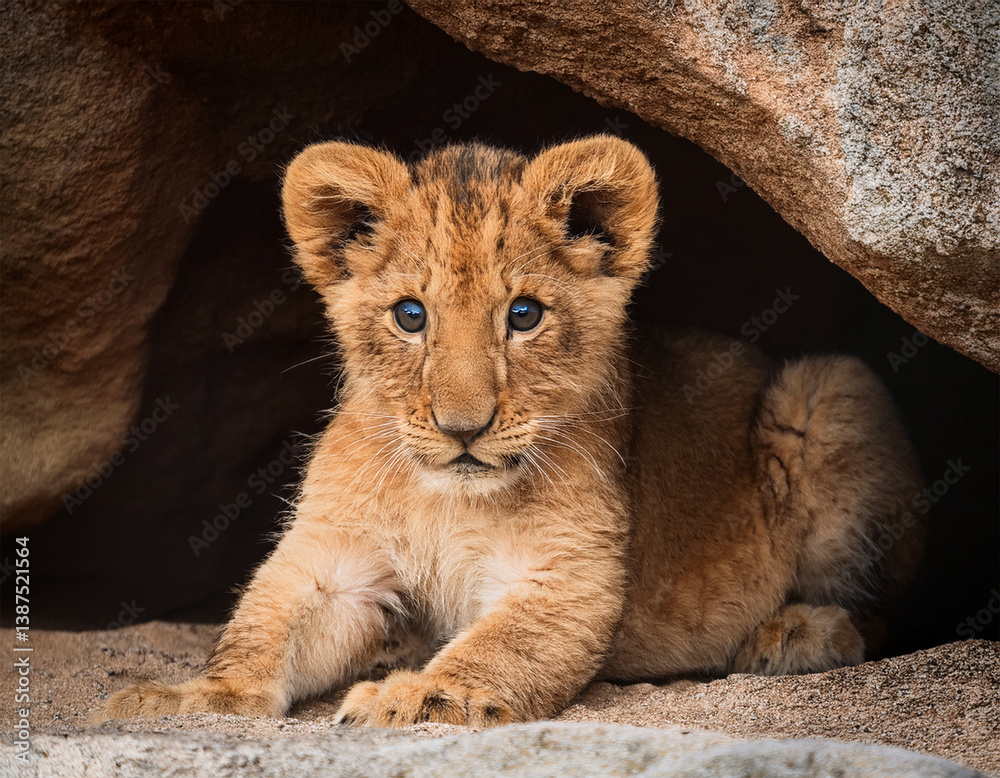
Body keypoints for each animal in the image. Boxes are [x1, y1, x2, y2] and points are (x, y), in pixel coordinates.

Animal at [99, 135, 924, 728]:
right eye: (411, 315)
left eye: (523, 315)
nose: (463, 428)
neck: (443, 495)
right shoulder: (336, 557)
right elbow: (263, 623)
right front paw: (194, 697)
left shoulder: (569, 572)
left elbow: (501, 646)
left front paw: (420, 696)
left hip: (827, 390)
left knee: (881, 612)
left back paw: (795, 634)